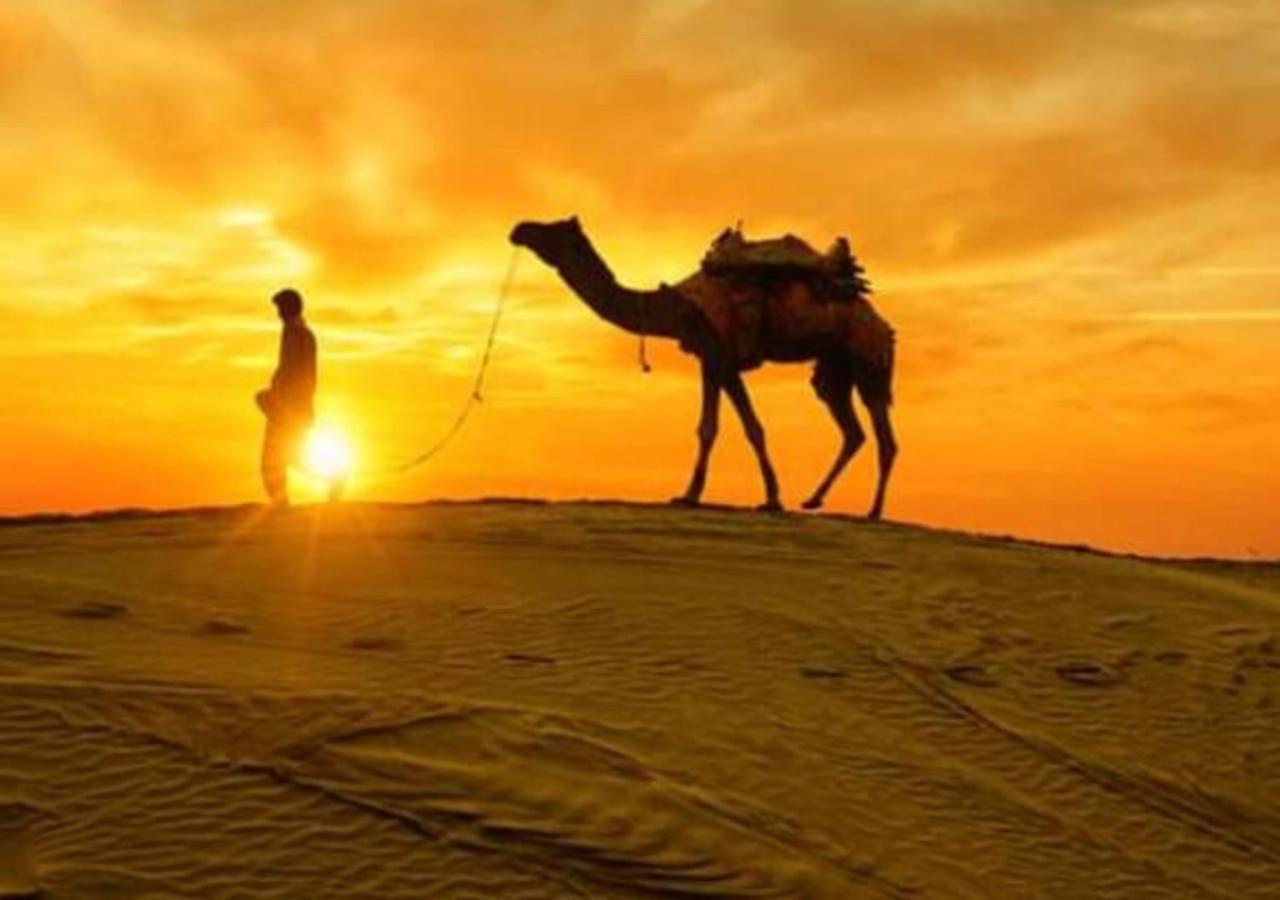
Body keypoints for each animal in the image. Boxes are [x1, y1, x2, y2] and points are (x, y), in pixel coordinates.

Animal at [512, 213, 901, 517]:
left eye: (551, 229)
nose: (518, 229)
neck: (679, 307)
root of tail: (886, 328)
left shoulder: (715, 356)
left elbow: (713, 427)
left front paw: (690, 495)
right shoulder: (721, 362)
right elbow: (747, 428)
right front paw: (771, 499)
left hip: (868, 360)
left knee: (885, 437)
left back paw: (873, 511)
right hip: (834, 370)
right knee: (852, 430)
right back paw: (813, 500)